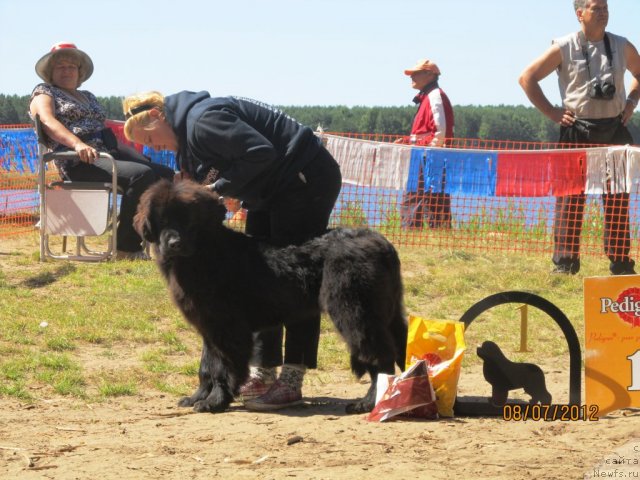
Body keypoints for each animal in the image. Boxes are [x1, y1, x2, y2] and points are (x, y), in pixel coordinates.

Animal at [134, 180, 410, 412]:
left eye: (188, 219)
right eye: (162, 219)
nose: (174, 243)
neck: (205, 252)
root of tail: (381, 243)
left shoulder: (227, 327)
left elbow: (224, 367)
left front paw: (215, 402)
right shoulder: (209, 326)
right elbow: (206, 367)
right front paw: (197, 397)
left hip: (354, 312)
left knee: (380, 357)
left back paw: (369, 403)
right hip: (389, 311)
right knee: (398, 348)